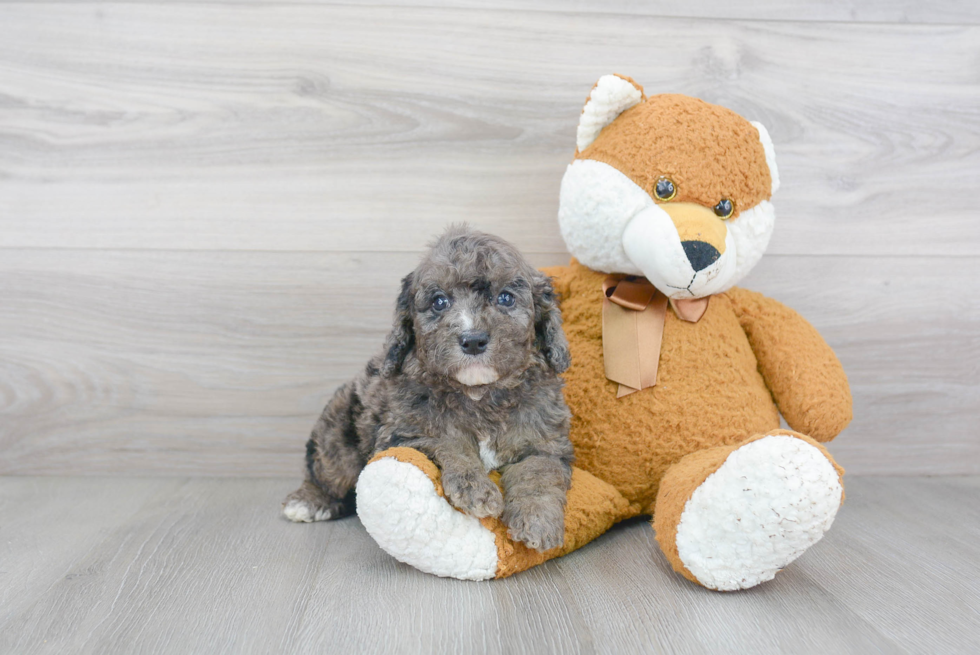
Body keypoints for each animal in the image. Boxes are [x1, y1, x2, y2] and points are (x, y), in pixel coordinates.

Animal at [282, 226, 576, 552]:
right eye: (439, 302)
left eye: (505, 298)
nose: (473, 340)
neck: (479, 394)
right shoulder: (404, 433)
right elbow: (448, 443)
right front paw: (476, 489)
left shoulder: (545, 443)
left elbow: (539, 472)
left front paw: (538, 521)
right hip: (338, 432)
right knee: (326, 470)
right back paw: (309, 502)